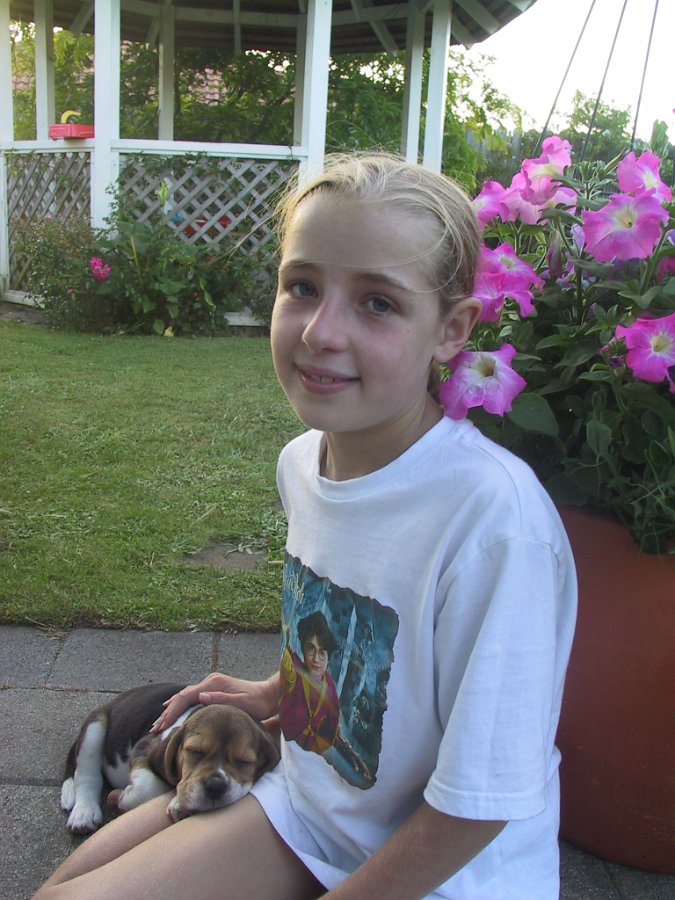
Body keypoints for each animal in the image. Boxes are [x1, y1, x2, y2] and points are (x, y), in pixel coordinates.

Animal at [61, 682, 279, 833]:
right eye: (195, 751)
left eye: (244, 762)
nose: (215, 786)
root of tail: (110, 703)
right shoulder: (145, 746)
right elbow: (150, 786)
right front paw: (124, 797)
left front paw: (178, 804)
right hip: (94, 728)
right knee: (87, 776)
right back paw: (84, 813)